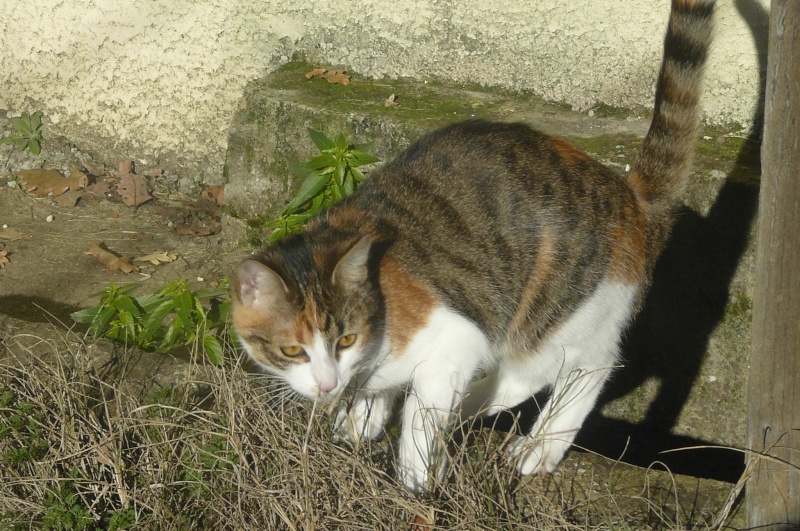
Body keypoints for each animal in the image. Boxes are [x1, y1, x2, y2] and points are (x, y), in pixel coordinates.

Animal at [231, 0, 712, 494]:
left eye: (345, 339)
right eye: (292, 351)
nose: (327, 386)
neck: (378, 318)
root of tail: (627, 192)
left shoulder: (453, 340)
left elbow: (422, 419)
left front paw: (416, 482)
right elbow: (381, 395)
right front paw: (363, 419)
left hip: (555, 313)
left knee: (578, 368)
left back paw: (539, 443)